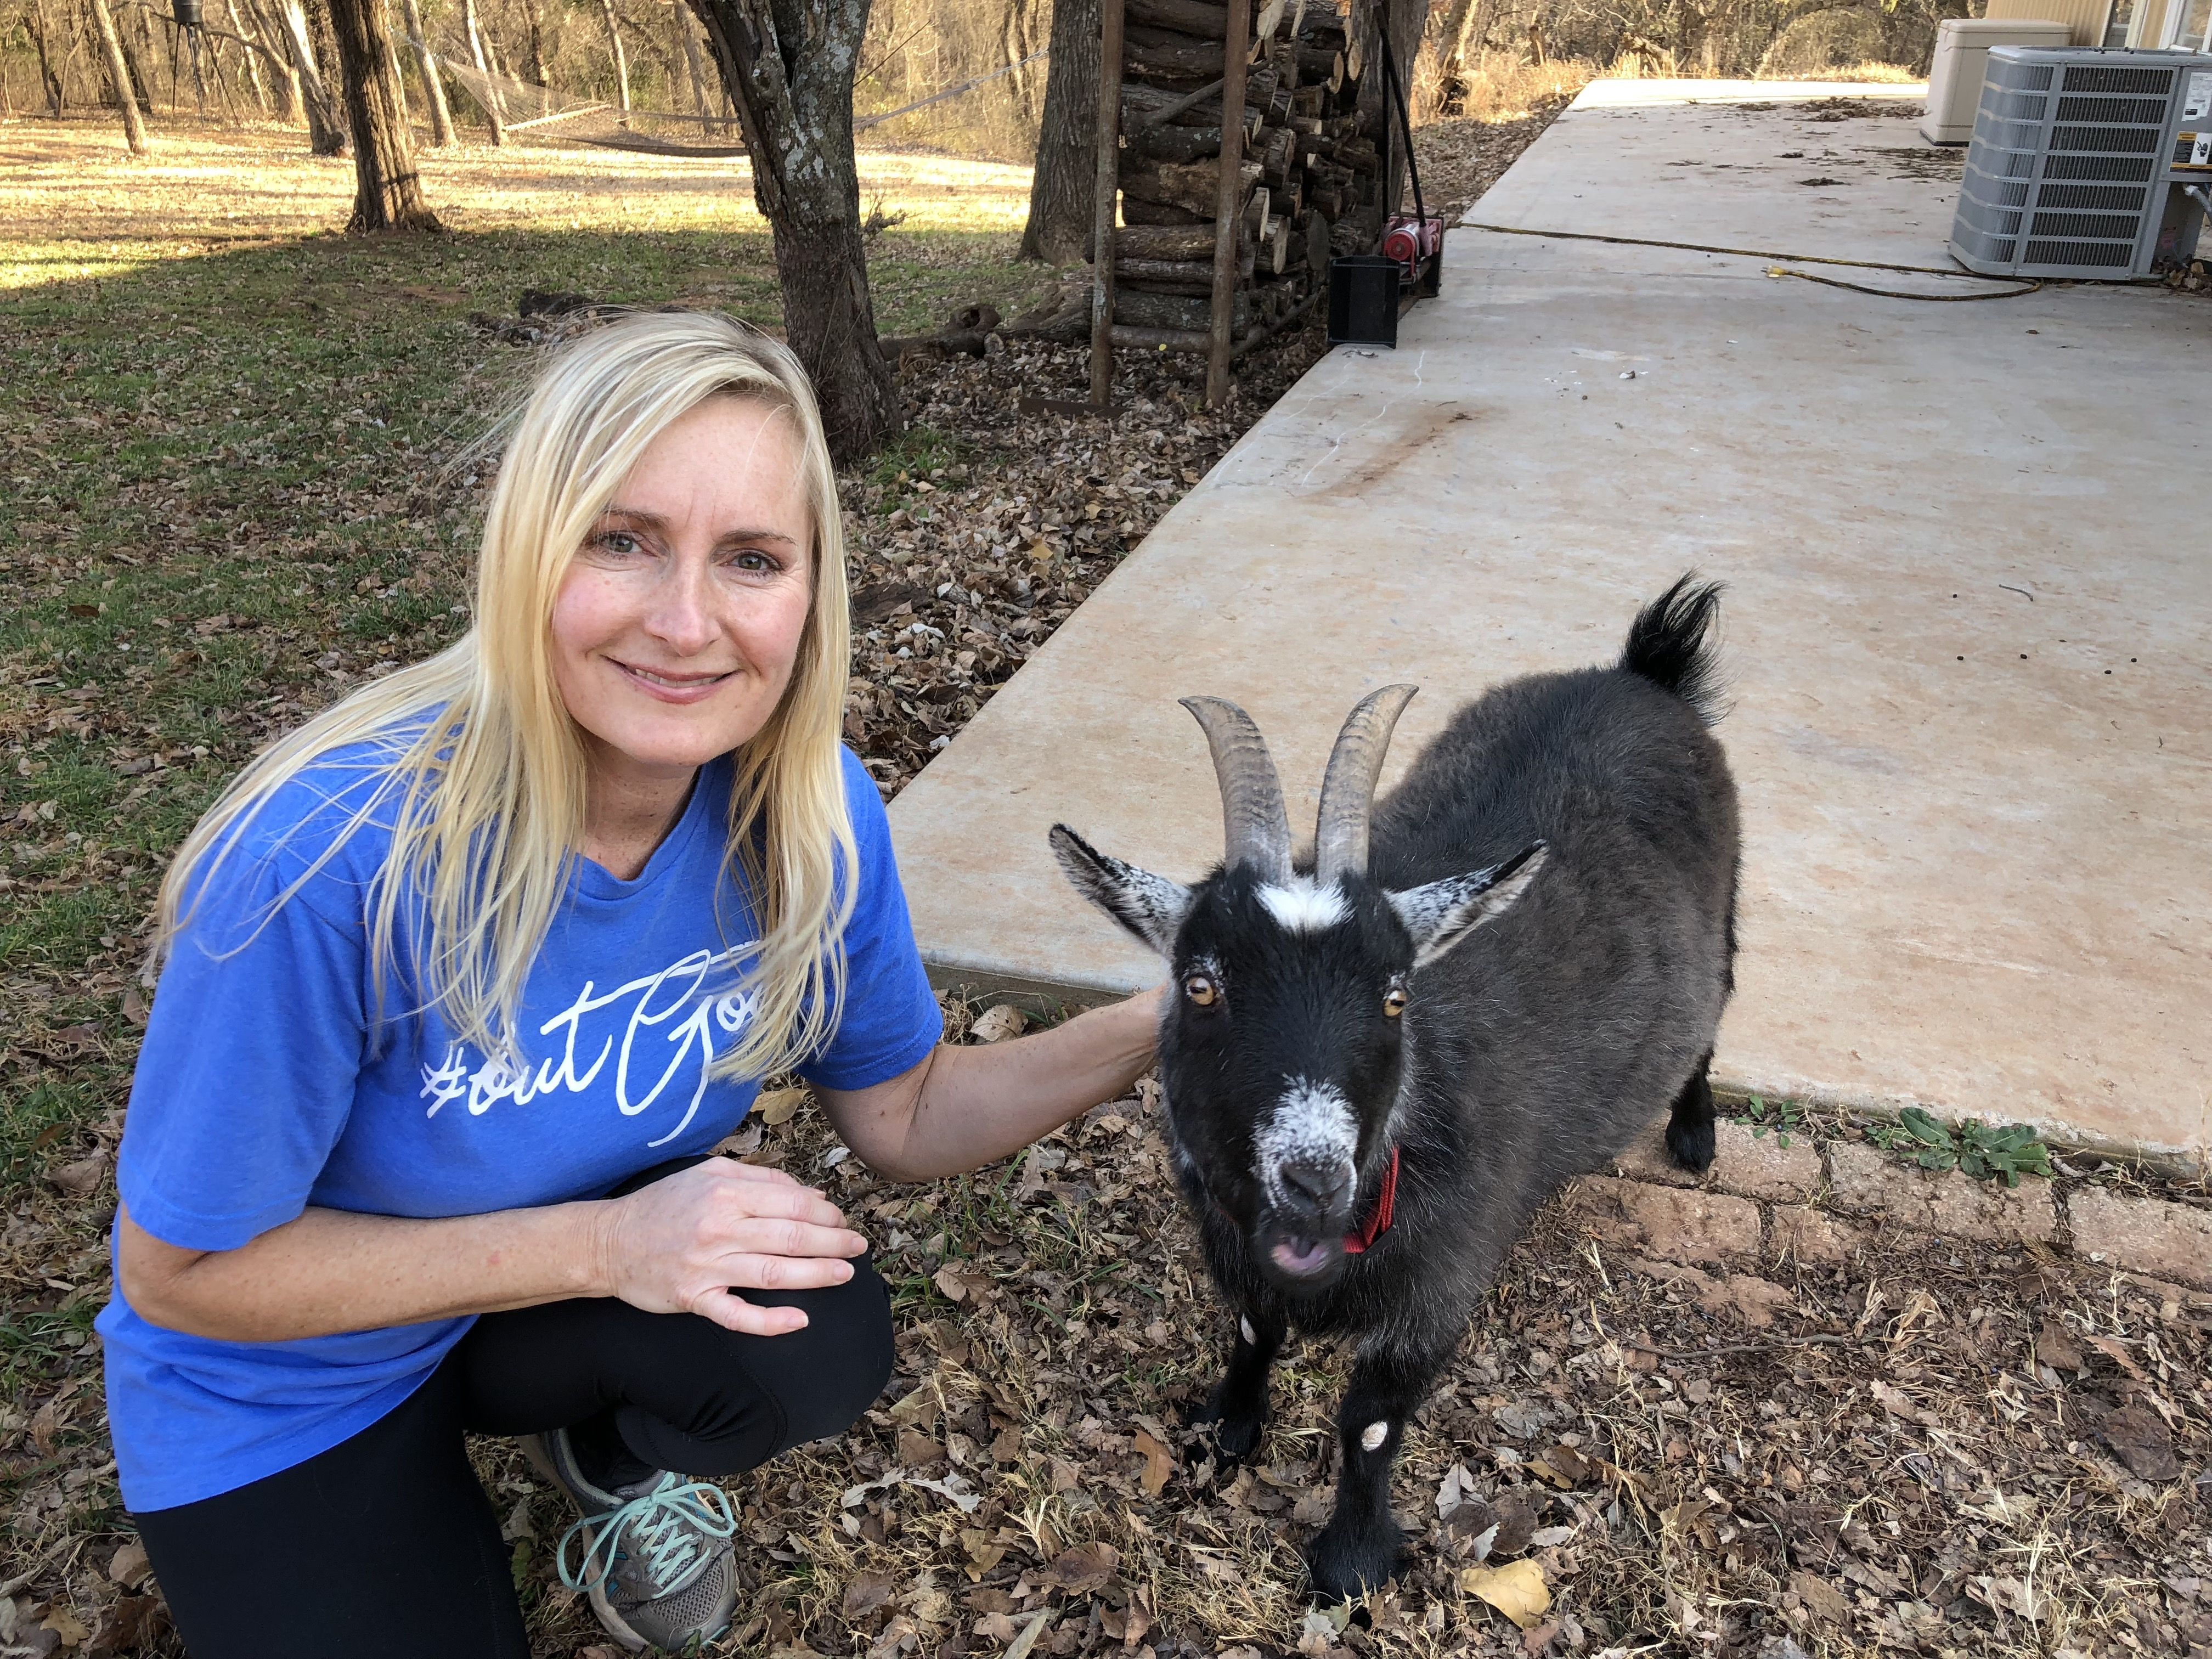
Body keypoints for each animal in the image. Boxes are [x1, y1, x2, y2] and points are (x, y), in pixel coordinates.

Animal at [1044, 579, 1734, 1601]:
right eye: (1200, 983)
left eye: (1396, 993)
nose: (1314, 1177)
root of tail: (1641, 673)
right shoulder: (1240, 1249)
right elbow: (1251, 1329)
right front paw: (1225, 1429)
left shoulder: (1439, 1285)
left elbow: (1369, 1420)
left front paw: (1350, 1561)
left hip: (1726, 916)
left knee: (1715, 1011)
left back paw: (1693, 1133)